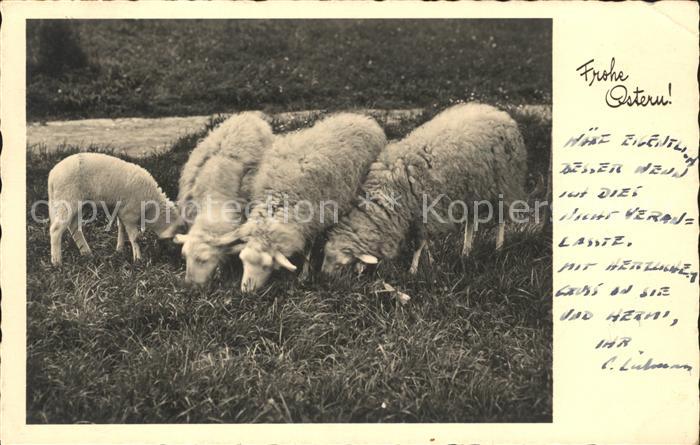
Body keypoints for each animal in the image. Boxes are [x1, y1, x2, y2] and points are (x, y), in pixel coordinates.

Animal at [48, 152, 178, 266]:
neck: (151, 207)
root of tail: (52, 176)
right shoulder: (129, 214)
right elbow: (134, 237)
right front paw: (138, 259)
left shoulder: (122, 211)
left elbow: (121, 229)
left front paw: (119, 250)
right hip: (67, 200)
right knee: (56, 229)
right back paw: (57, 262)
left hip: (77, 204)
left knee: (74, 227)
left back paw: (87, 253)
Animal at [215, 113, 387, 292]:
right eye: (243, 260)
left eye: (266, 266)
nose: (245, 291)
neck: (280, 197)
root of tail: (364, 118)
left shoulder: (315, 218)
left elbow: (308, 249)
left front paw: (304, 275)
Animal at [321, 103, 527, 275]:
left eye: (339, 264)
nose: (323, 276)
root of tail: (499, 112)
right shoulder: (419, 214)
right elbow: (425, 242)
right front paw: (431, 261)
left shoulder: (425, 210)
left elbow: (419, 244)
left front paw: (413, 269)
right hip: (473, 189)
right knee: (471, 220)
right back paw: (466, 251)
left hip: (504, 183)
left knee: (501, 219)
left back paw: (499, 248)